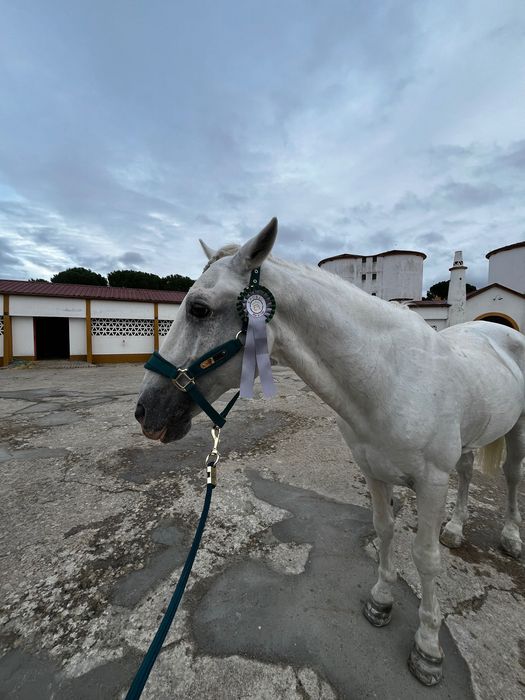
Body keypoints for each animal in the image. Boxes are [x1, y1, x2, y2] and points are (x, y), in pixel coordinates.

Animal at [135, 218, 525, 686]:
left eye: (198, 309)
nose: (145, 412)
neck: (390, 378)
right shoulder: (373, 471)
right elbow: (384, 530)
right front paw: (381, 601)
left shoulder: (431, 483)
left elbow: (426, 558)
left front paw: (428, 648)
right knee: (467, 473)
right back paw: (456, 528)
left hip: (517, 432)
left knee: (512, 476)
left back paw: (510, 537)